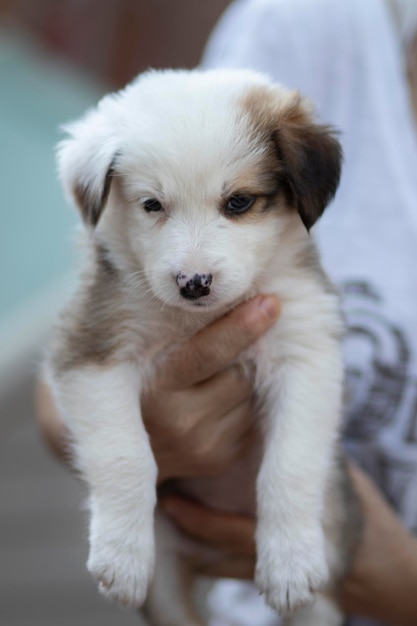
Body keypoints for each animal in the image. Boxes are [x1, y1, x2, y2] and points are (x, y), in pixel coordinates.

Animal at [46, 69, 360, 624]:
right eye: (152, 204)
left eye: (238, 202)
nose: (194, 283)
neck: (198, 319)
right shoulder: (92, 349)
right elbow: (126, 455)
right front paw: (121, 556)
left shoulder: (304, 346)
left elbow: (291, 463)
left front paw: (290, 562)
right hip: (170, 584)